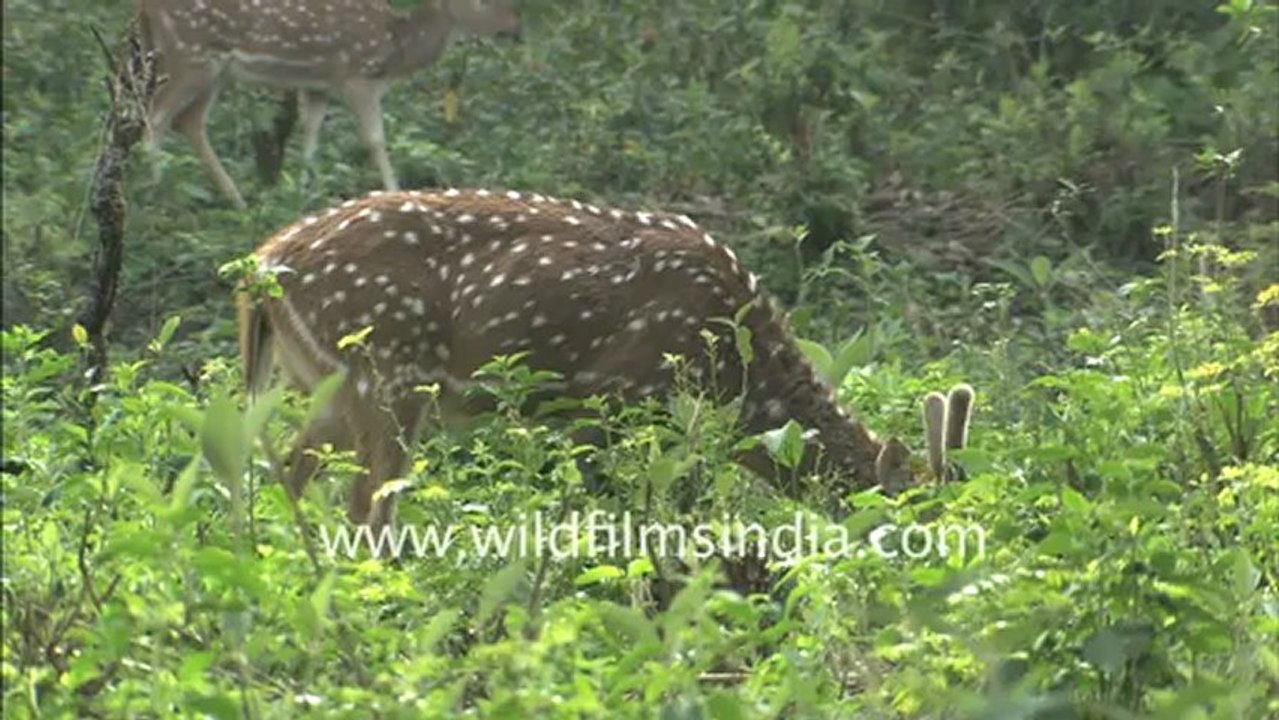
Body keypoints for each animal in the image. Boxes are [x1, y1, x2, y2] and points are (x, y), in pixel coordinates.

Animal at [138, 0, 522, 209]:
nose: (517, 25)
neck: (394, 46)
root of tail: (144, 9)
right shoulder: (356, 77)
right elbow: (375, 140)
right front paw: (397, 194)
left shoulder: (318, 86)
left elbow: (309, 139)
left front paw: (301, 198)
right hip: (190, 54)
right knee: (156, 117)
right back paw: (156, 193)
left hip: (211, 69)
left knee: (189, 121)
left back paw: (236, 200)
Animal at [236, 188, 975, 530]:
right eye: (905, 520)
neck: (736, 366)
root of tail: (261, 266)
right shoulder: (617, 393)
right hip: (387, 368)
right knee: (366, 504)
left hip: (329, 384)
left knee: (289, 469)